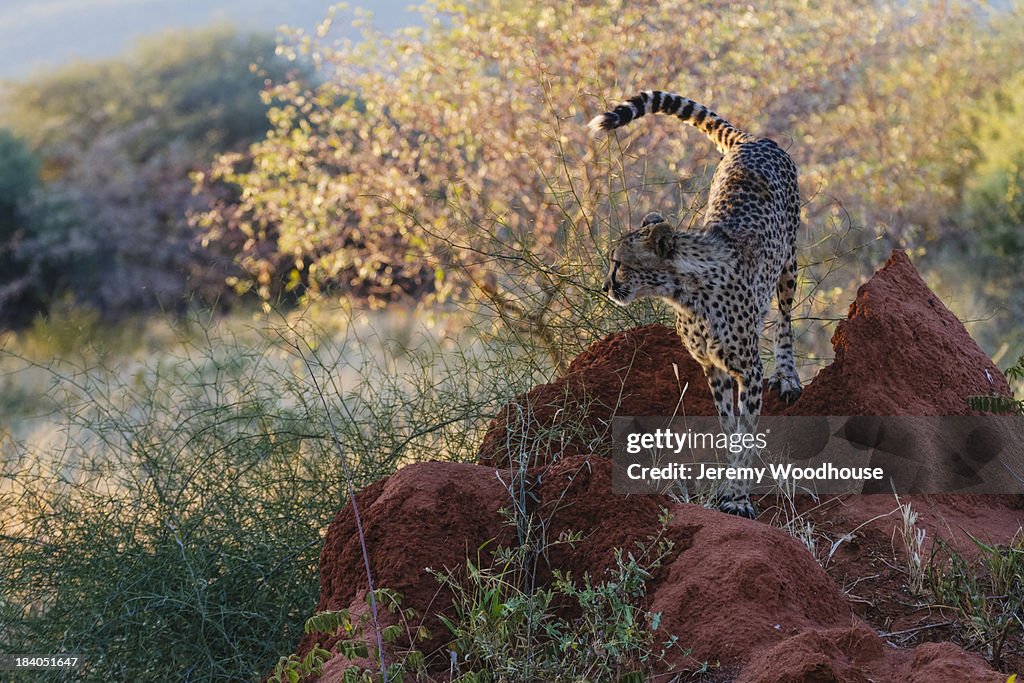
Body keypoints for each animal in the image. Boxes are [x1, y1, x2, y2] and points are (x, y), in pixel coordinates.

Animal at [589, 89, 802, 518]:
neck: (686, 292)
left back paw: (788, 375)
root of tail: (753, 141)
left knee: (786, 318)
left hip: (788, 261)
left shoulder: (748, 369)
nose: (605, 286)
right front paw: (728, 482)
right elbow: (728, 425)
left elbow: (746, 433)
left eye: (619, 264)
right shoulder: (711, 367)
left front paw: (737, 495)